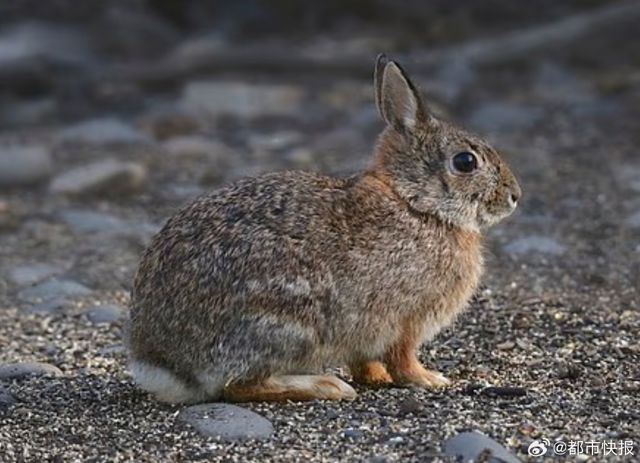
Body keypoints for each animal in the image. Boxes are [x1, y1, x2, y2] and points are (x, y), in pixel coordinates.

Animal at [127, 54, 521, 403]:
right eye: (465, 162)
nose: (515, 196)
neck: (416, 205)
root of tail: (165, 365)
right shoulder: (407, 319)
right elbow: (403, 358)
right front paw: (429, 379)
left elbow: (366, 361)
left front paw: (376, 378)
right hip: (287, 321)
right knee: (239, 386)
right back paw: (326, 386)